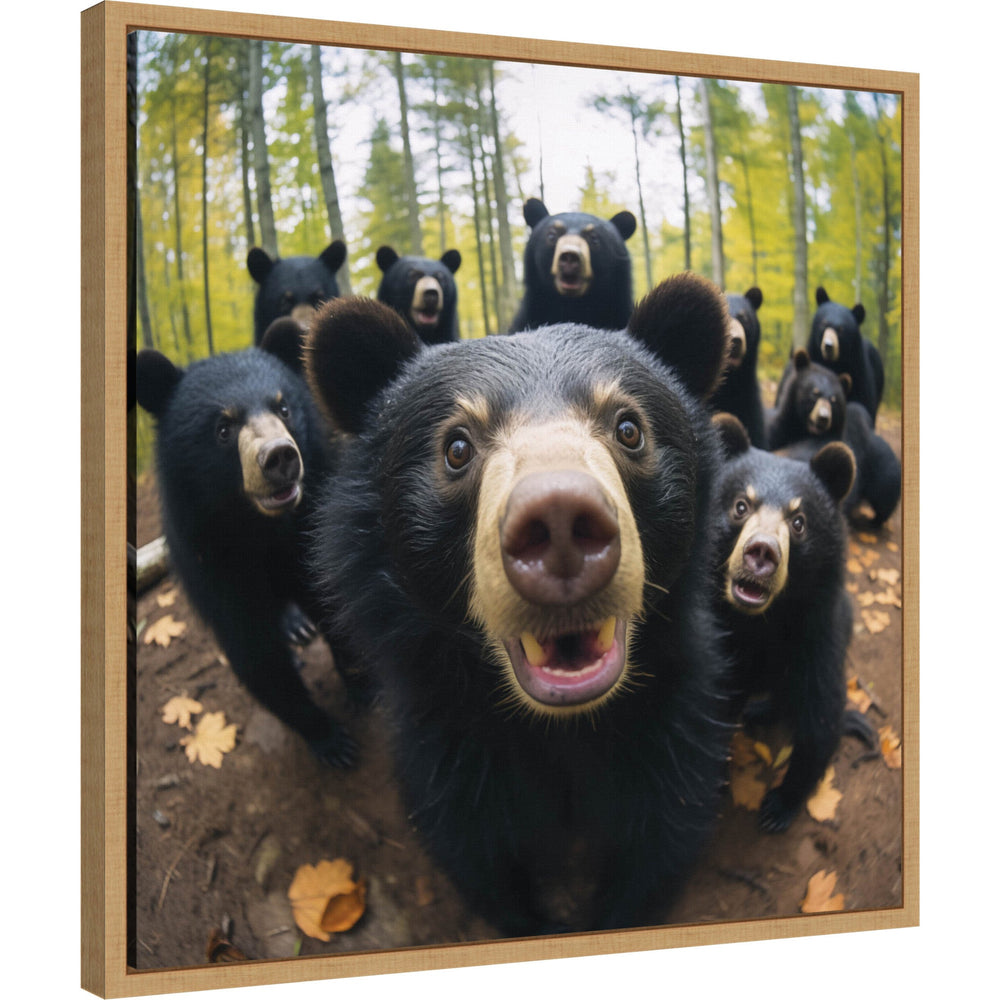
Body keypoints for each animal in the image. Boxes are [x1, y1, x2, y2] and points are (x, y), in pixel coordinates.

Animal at [135, 321, 365, 767]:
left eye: (283, 408)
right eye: (223, 428)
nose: (280, 458)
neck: (262, 529)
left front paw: (363, 688)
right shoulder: (207, 554)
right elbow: (252, 648)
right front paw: (331, 740)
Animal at [302, 274, 735, 937]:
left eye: (628, 428)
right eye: (457, 447)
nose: (558, 521)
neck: (560, 728)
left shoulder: (671, 724)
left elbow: (658, 841)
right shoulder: (447, 741)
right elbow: (479, 857)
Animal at [711, 413, 858, 833]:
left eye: (798, 522)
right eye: (741, 506)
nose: (761, 553)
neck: (761, 622)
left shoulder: (817, 630)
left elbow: (821, 714)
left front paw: (779, 805)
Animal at [804, 286, 884, 421]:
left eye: (841, 329)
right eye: (824, 324)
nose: (828, 346)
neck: (834, 363)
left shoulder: (859, 373)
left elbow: (864, 402)